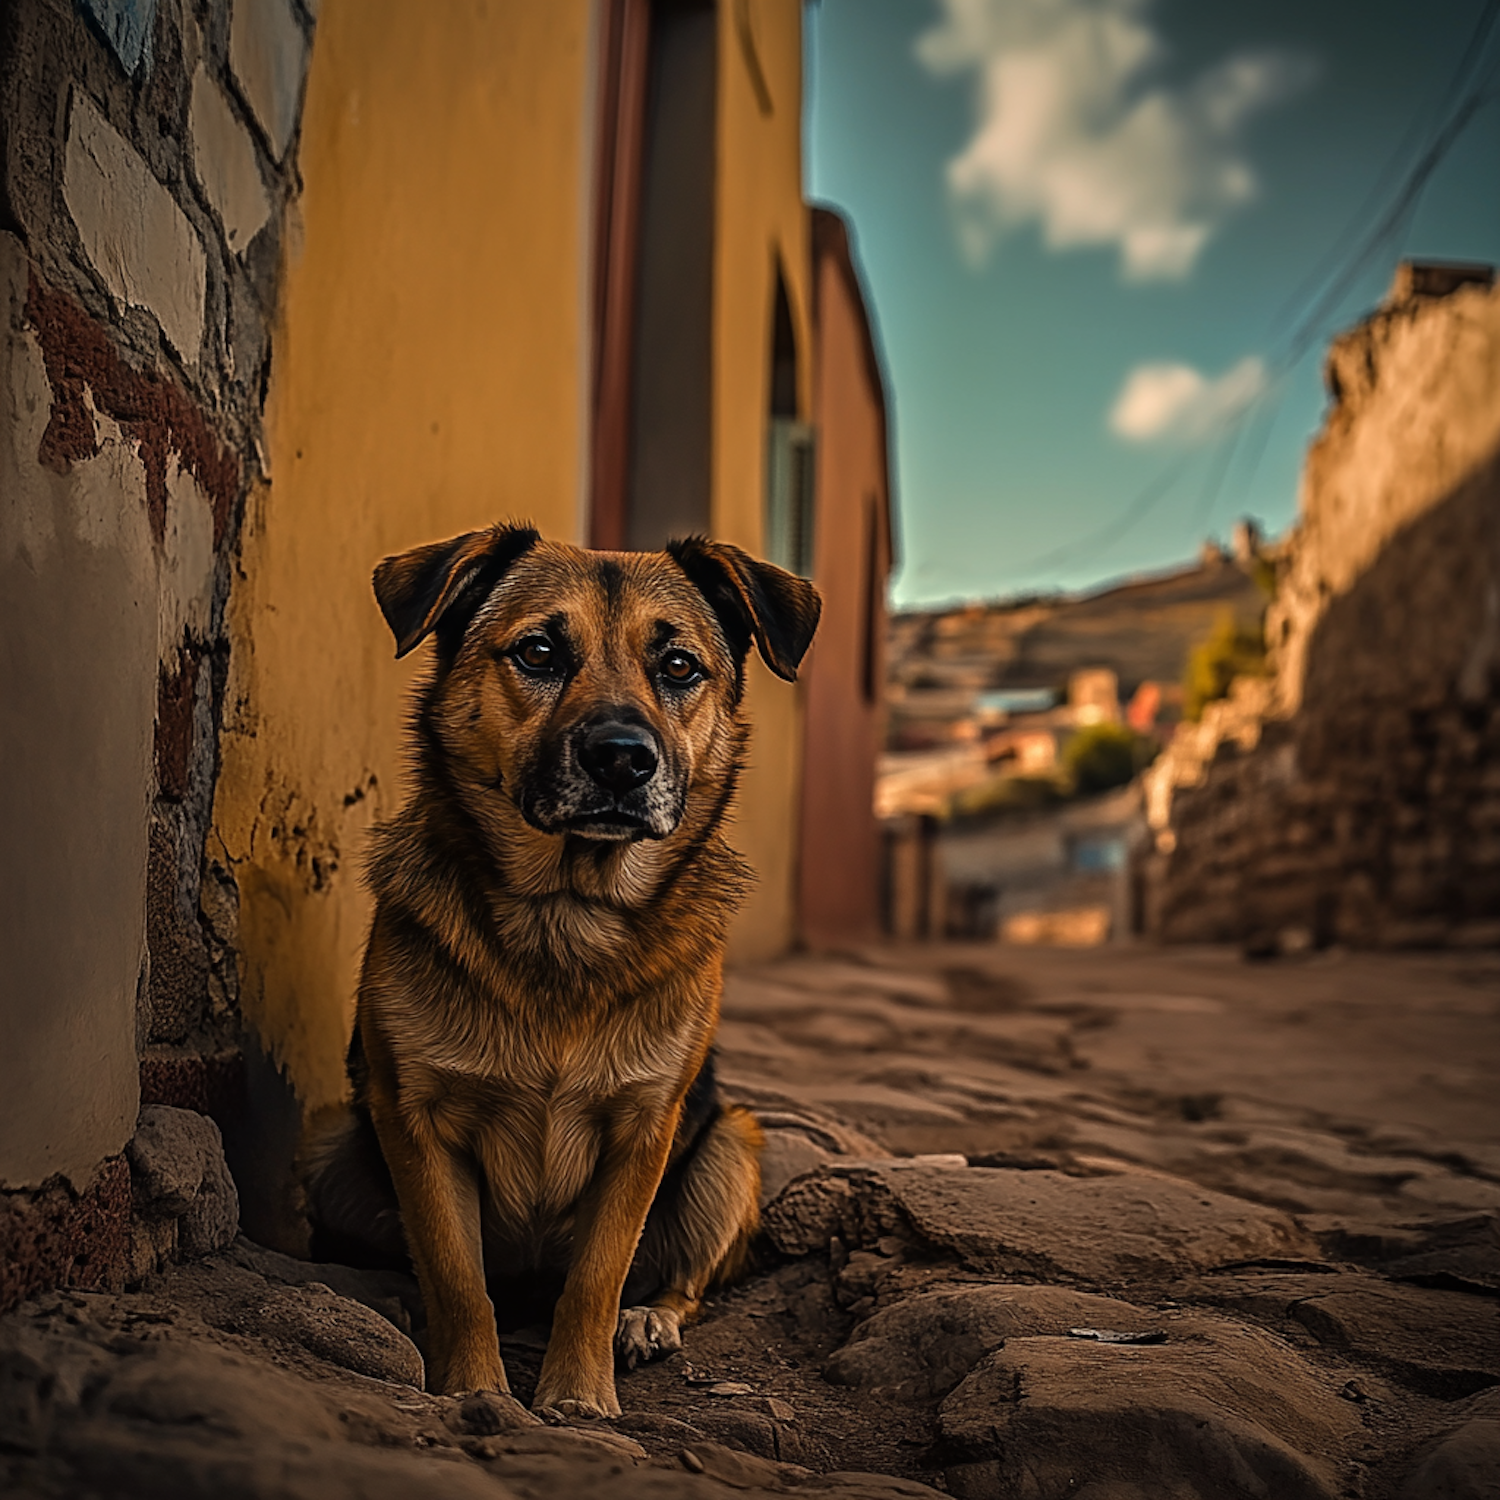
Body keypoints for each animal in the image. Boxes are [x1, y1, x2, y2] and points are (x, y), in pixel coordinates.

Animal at [303, 528, 822, 1416]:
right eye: (540, 652)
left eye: (678, 666)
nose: (621, 759)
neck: (567, 918)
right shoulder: (417, 1121)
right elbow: (456, 1277)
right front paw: (474, 1388)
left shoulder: (643, 1130)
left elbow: (596, 1277)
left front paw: (579, 1398)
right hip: (336, 1146)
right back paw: (387, 1295)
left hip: (731, 1142)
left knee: (682, 1280)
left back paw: (648, 1321)